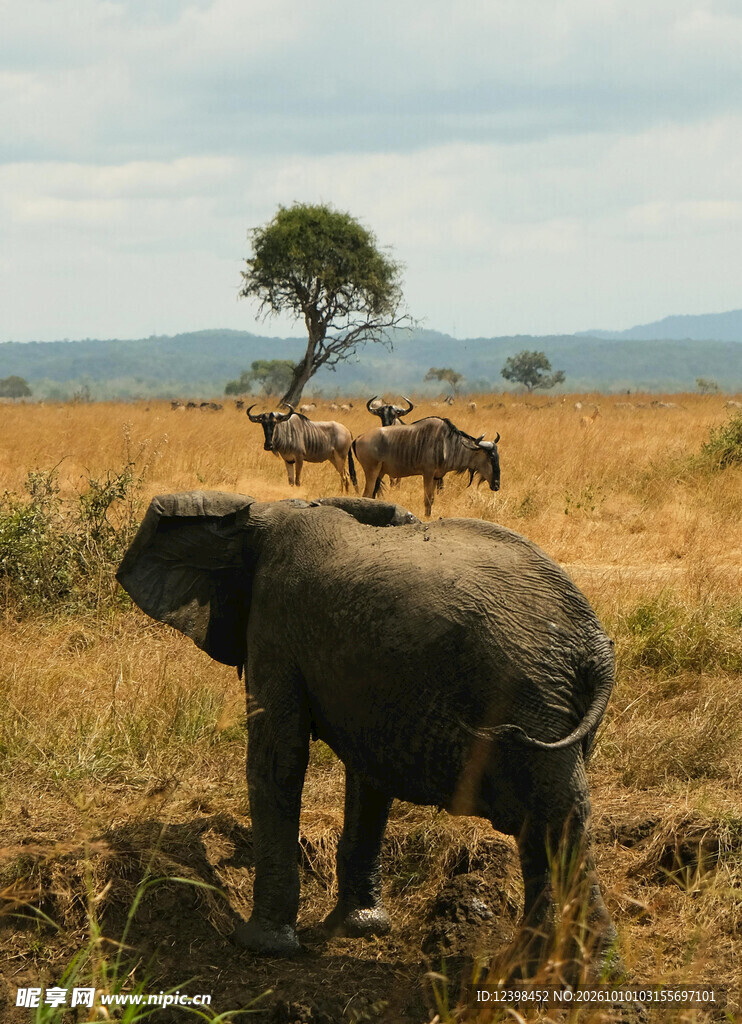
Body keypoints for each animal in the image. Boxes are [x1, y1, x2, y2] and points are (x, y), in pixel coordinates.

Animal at [116, 491, 616, 975]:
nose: (208, 829)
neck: (265, 510)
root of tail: (596, 648)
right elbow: (368, 779)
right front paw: (359, 928)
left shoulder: (275, 621)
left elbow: (280, 758)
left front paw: (261, 946)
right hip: (547, 704)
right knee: (552, 821)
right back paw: (533, 965)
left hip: (525, 694)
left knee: (554, 815)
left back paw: (581, 968)